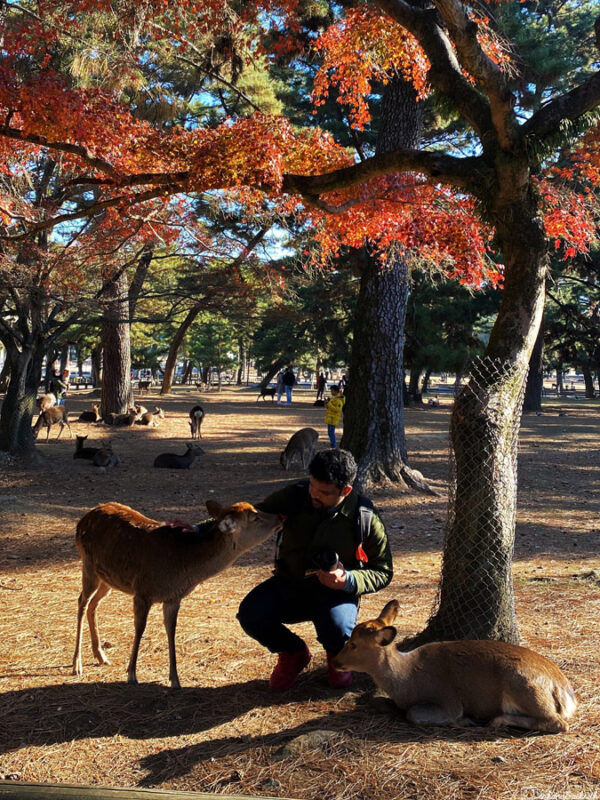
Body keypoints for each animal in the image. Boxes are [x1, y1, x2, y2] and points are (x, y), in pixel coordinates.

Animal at [72, 499, 284, 688]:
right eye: (254, 517)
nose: (282, 516)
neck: (181, 565)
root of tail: (84, 519)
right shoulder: (142, 591)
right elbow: (140, 629)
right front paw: (131, 674)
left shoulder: (173, 598)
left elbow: (171, 631)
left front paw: (175, 680)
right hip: (88, 565)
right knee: (82, 601)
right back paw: (77, 664)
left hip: (107, 580)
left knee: (93, 604)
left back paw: (101, 656)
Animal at [333, 600, 577, 733]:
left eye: (353, 644)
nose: (336, 661)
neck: (406, 682)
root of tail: (566, 693)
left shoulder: (447, 700)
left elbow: (414, 714)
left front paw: (465, 720)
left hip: (522, 685)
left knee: (557, 722)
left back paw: (496, 720)